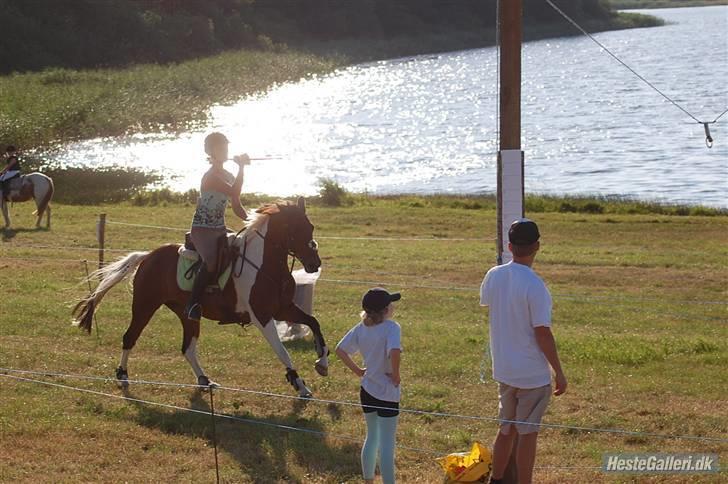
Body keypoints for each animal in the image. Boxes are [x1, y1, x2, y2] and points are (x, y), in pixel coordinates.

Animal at [70, 198, 328, 398]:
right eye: (295, 229)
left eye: (311, 226)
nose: (314, 264)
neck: (265, 265)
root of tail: (148, 256)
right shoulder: (262, 317)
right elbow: (283, 352)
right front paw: (300, 385)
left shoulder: (283, 309)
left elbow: (314, 322)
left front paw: (322, 363)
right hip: (145, 306)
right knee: (129, 337)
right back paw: (123, 376)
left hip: (187, 314)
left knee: (187, 348)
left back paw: (204, 380)